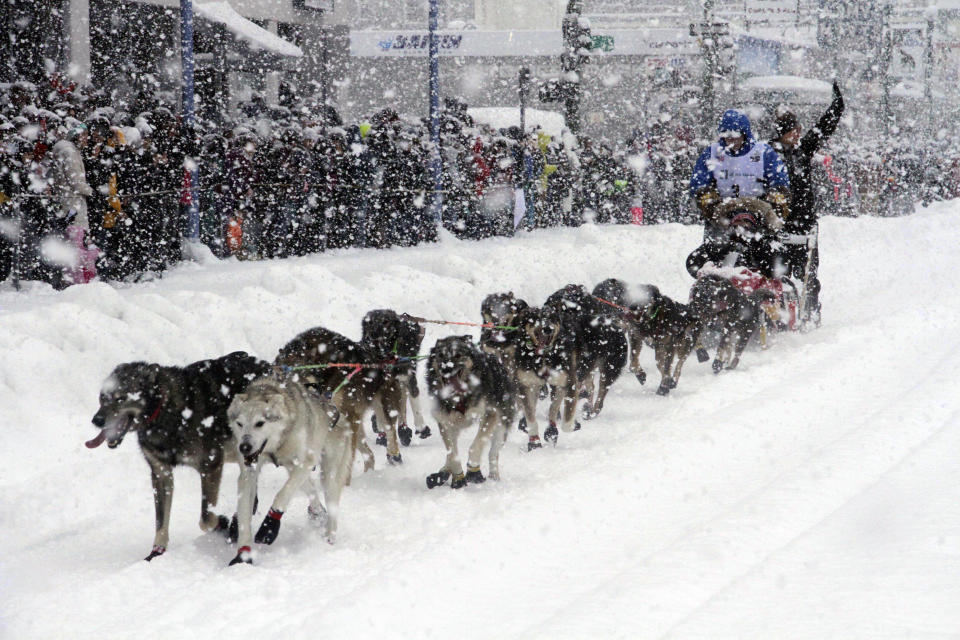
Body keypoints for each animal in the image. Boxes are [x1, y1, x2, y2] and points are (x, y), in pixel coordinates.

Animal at [228, 376, 352, 564]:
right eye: (240, 424)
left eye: (260, 423)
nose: (244, 447)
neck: (277, 446)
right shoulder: (248, 474)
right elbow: (244, 514)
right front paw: (243, 556)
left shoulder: (306, 462)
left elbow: (281, 495)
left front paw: (269, 526)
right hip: (293, 468)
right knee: (311, 490)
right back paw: (317, 512)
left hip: (328, 475)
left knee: (332, 509)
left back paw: (329, 538)